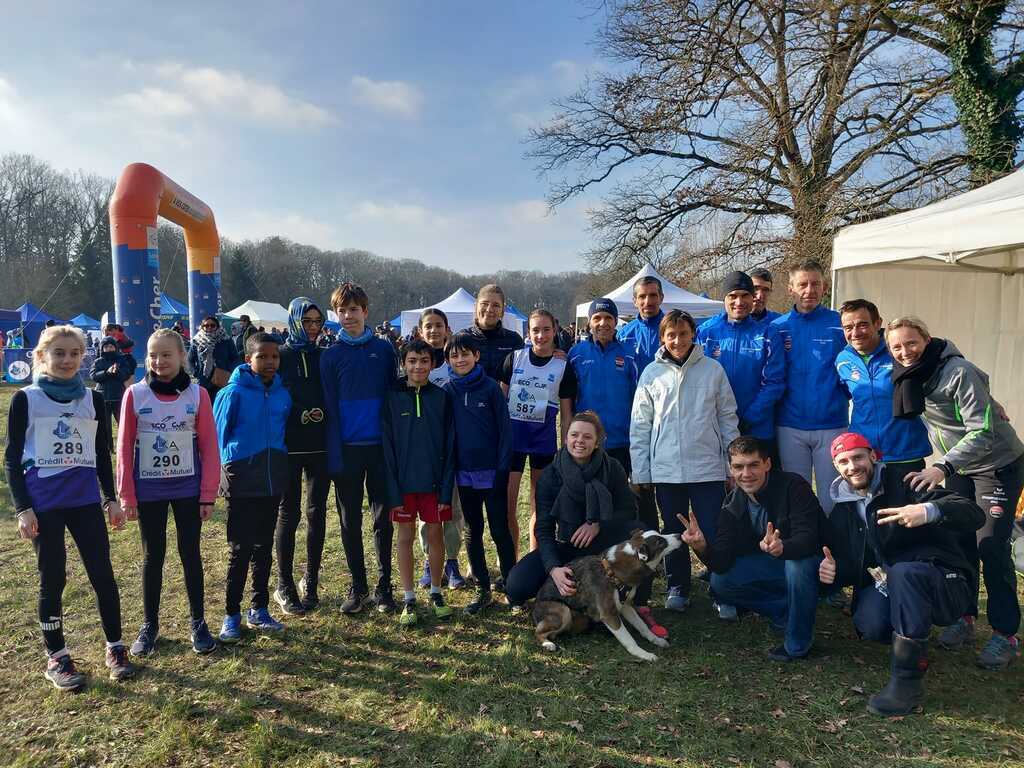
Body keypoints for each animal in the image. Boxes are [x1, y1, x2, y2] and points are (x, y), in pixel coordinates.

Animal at [532, 529, 682, 661]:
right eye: (660, 542)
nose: (679, 535)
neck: (613, 571)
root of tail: (533, 607)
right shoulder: (609, 614)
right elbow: (629, 639)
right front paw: (643, 654)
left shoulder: (626, 606)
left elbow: (643, 626)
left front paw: (656, 639)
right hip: (564, 611)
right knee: (538, 632)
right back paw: (547, 644)